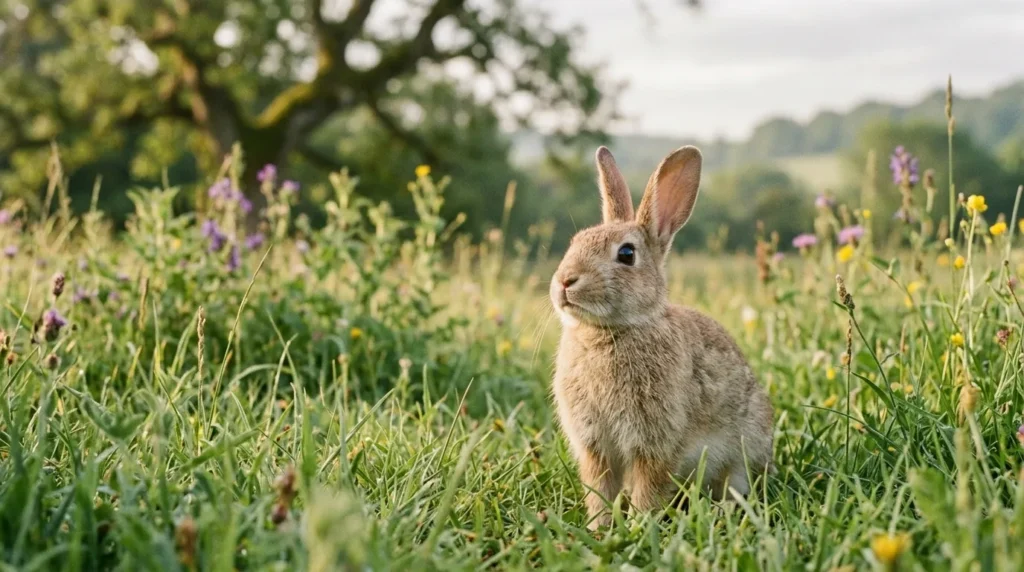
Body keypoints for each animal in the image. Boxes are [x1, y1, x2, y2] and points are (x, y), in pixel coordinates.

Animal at [549, 145, 774, 530]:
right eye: (574, 243)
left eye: (626, 254)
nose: (565, 281)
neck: (609, 332)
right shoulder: (596, 446)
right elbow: (600, 489)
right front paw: (599, 529)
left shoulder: (657, 443)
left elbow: (648, 487)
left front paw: (638, 527)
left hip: (744, 452)